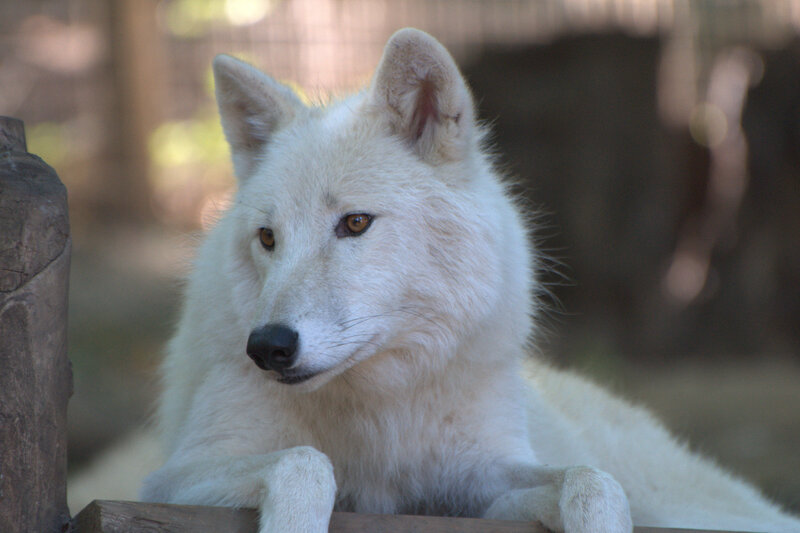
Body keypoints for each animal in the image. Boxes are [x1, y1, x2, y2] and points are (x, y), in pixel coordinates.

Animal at [140, 28, 800, 533]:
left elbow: (593, 484)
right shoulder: (171, 476)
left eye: (354, 223)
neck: (381, 414)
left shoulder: (479, 478)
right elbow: (304, 465)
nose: (268, 346)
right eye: (268, 238)